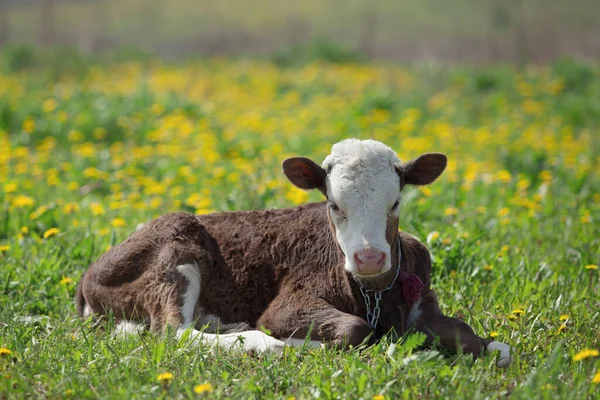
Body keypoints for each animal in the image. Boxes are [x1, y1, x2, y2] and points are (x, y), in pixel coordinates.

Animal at [76, 139, 510, 368]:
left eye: (396, 203)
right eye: (333, 205)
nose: (369, 258)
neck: (375, 295)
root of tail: (87, 276)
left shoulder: (423, 302)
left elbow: (483, 342)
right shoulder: (288, 305)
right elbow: (354, 330)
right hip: (174, 251)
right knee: (173, 331)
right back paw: (258, 341)